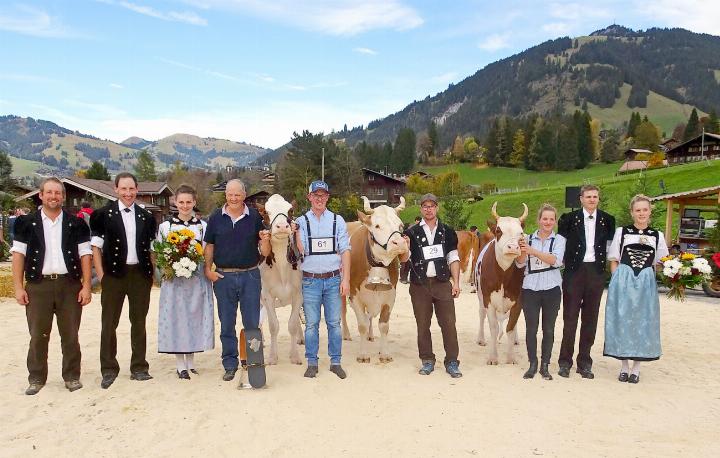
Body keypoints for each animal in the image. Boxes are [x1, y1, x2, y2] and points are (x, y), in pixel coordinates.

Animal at [258, 194, 304, 364]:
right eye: (266, 212)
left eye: (290, 210)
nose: (282, 226)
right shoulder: (267, 296)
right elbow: (273, 326)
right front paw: (272, 357)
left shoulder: (299, 294)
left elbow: (292, 324)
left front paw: (295, 356)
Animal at [472, 203, 528, 364]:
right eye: (498, 230)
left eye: (521, 233)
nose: (513, 247)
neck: (503, 277)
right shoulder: (488, 300)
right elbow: (493, 328)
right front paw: (493, 357)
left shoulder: (518, 301)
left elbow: (510, 327)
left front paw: (511, 357)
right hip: (480, 296)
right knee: (481, 314)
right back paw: (481, 339)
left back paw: (515, 340)